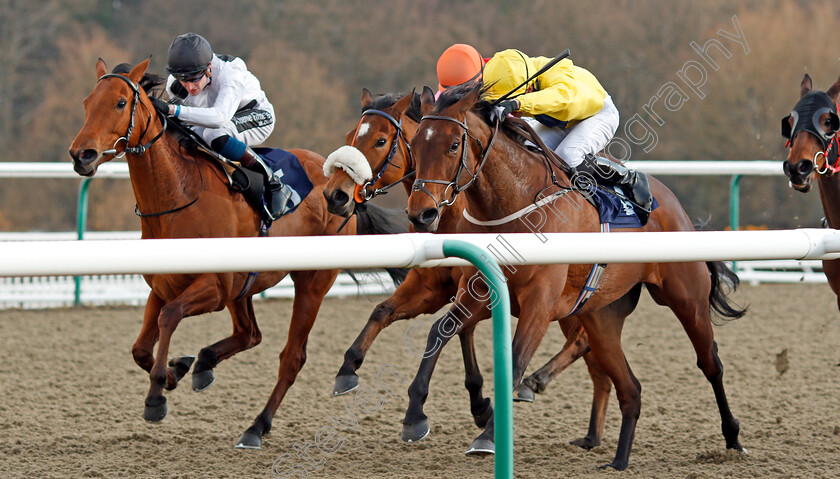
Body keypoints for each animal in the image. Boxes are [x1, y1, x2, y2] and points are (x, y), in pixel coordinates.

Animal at [66, 59, 406, 450]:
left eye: (121, 103)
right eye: (87, 102)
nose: (81, 155)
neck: (178, 195)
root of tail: (344, 186)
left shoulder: (213, 288)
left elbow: (169, 317)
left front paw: (156, 396)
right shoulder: (162, 286)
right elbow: (140, 347)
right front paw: (173, 371)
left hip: (311, 282)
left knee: (292, 357)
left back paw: (256, 426)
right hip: (244, 285)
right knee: (250, 334)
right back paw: (203, 364)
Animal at [318, 88, 612, 452]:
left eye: (380, 140)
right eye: (350, 136)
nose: (335, 195)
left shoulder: (473, 288)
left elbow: (453, 332)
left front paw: (469, 408)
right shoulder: (434, 285)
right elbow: (385, 311)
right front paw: (349, 368)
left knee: (582, 340)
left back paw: (535, 384)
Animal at [404, 83, 744, 472]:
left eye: (452, 145)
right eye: (415, 145)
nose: (421, 214)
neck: (515, 206)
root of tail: (675, 205)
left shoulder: (539, 305)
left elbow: (515, 362)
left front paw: (488, 435)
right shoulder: (481, 294)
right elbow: (437, 333)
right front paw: (414, 416)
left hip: (687, 299)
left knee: (710, 364)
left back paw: (732, 436)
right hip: (602, 316)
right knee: (626, 384)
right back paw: (614, 456)